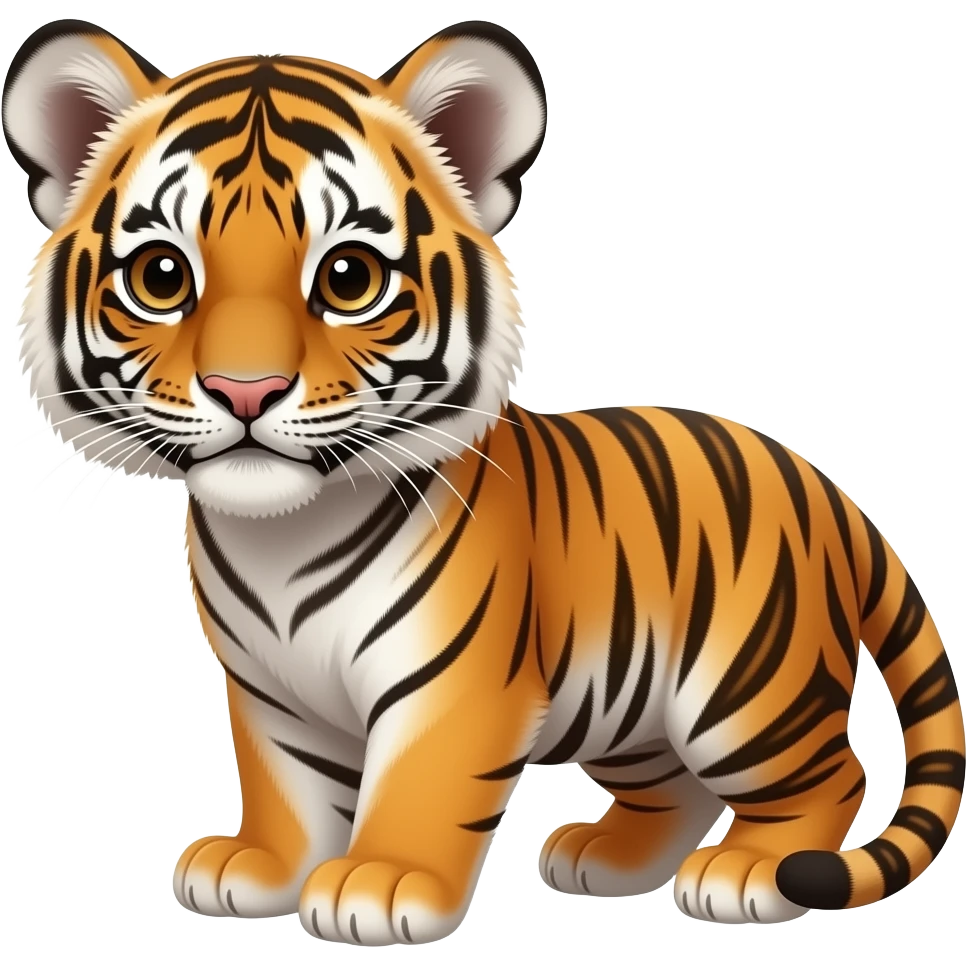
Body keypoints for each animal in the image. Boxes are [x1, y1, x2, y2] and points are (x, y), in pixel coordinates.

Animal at [4, 16, 964, 946]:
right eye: (161, 276)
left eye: (347, 277)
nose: (246, 389)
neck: (280, 534)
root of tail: (824, 487)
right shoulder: (271, 693)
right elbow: (287, 786)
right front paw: (263, 865)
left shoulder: (453, 684)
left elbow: (423, 784)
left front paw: (381, 883)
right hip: (630, 708)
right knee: (677, 786)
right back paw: (604, 858)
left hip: (745, 687)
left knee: (834, 774)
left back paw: (749, 873)